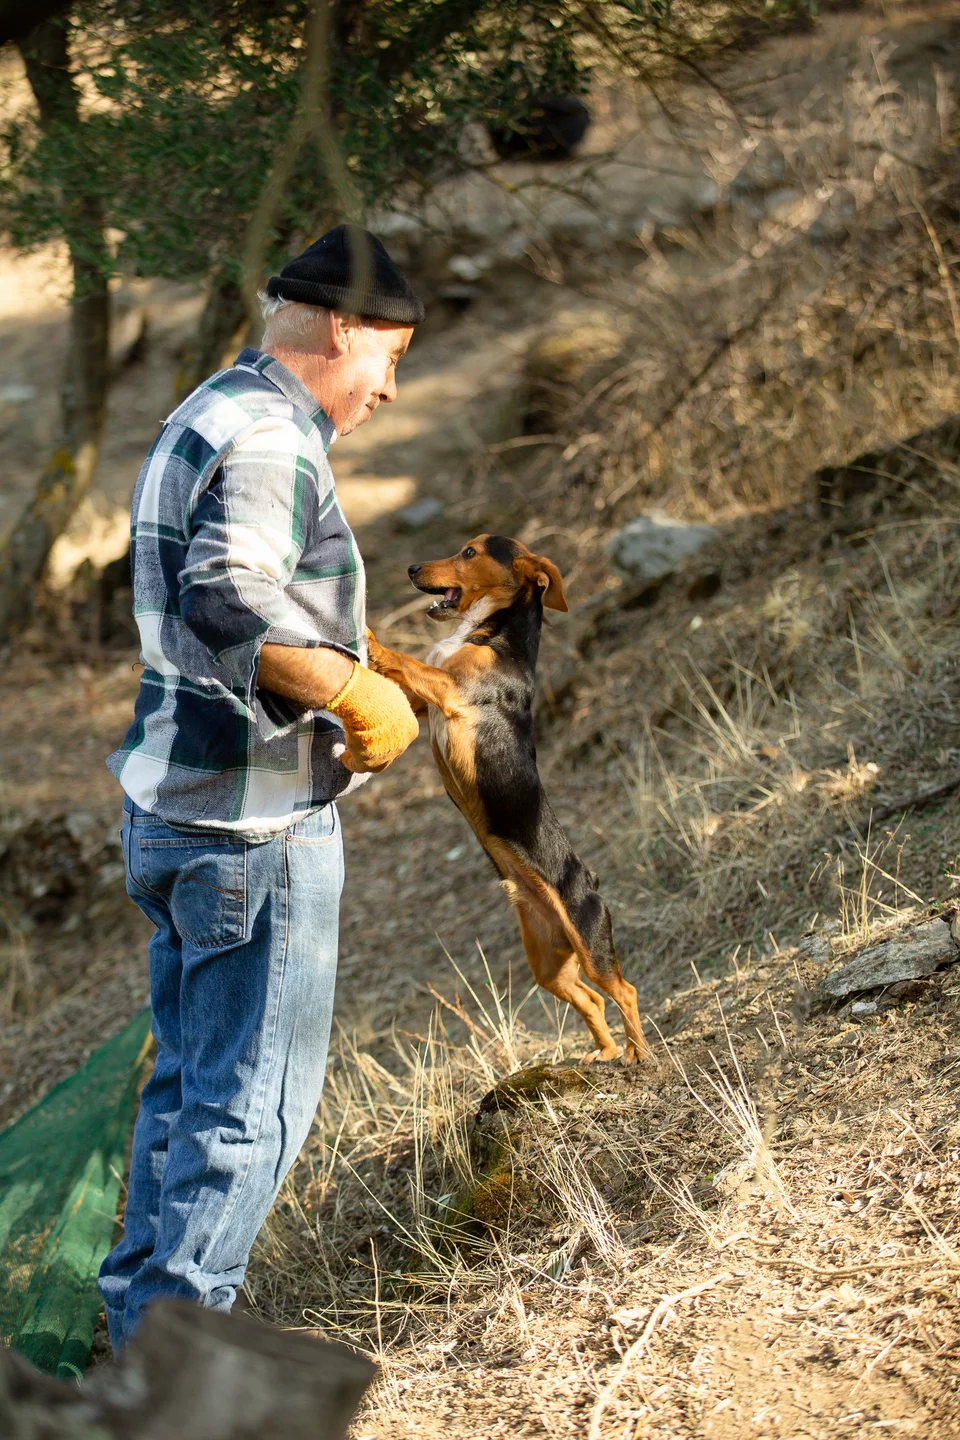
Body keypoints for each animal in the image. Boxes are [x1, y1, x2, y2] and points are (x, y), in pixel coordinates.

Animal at [368, 535, 653, 1065]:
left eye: (469, 552)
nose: (413, 568)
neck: (492, 634)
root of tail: (590, 881)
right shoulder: (422, 703)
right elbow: (403, 676)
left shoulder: (448, 690)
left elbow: (407, 660)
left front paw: (371, 638)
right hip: (547, 963)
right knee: (591, 1000)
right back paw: (605, 1051)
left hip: (589, 943)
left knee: (625, 991)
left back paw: (636, 1053)